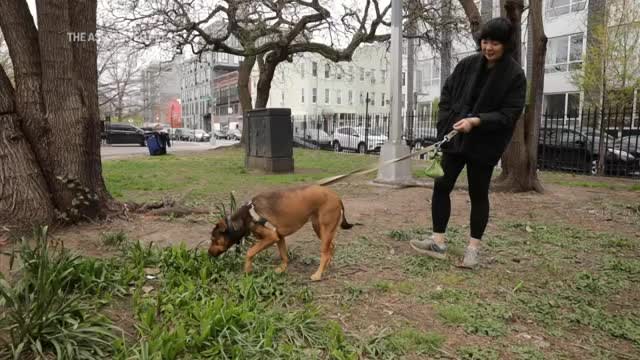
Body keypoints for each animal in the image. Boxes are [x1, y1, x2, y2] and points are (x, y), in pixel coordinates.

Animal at [209, 186, 350, 282]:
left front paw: (247, 270)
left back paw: (318, 274)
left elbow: (250, 252)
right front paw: (281, 269)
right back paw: (327, 266)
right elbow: (284, 255)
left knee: (325, 253)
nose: (208, 254)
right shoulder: (279, 236)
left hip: (325, 228)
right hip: (319, 228)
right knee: (331, 247)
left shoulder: (271, 237)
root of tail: (337, 197)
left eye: (213, 239)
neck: (246, 217)